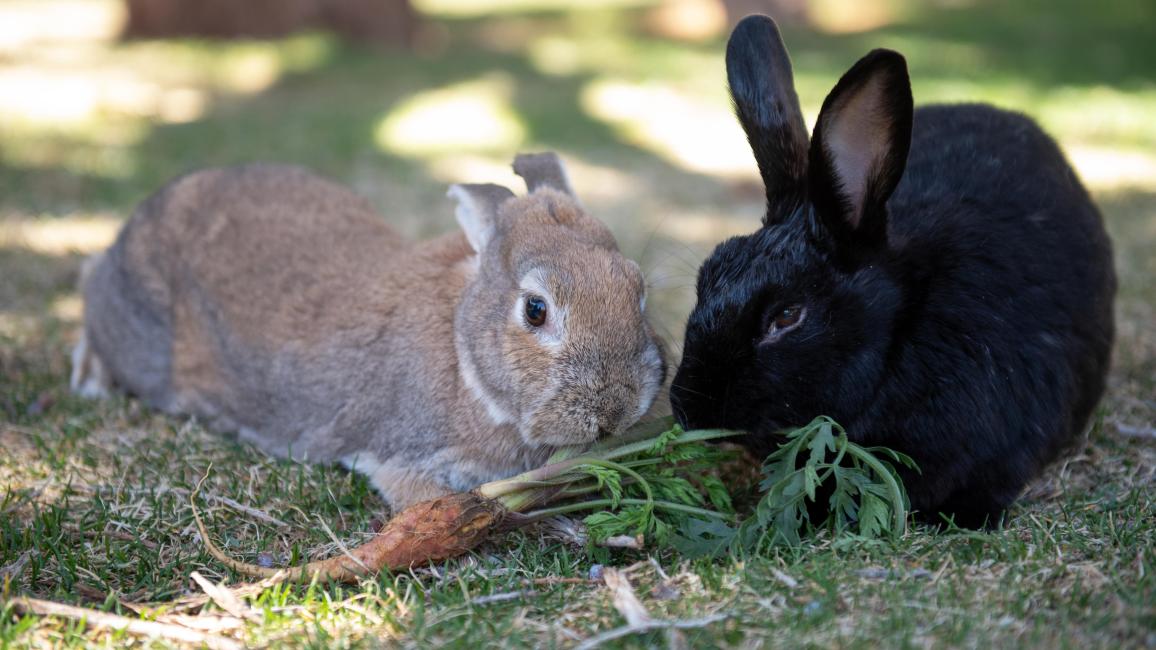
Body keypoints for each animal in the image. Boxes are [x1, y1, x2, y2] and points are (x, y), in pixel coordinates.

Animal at [71, 154, 668, 509]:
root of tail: (142, 217)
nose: (616, 409)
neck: (465, 359)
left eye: (636, 287)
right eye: (536, 310)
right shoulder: (401, 458)